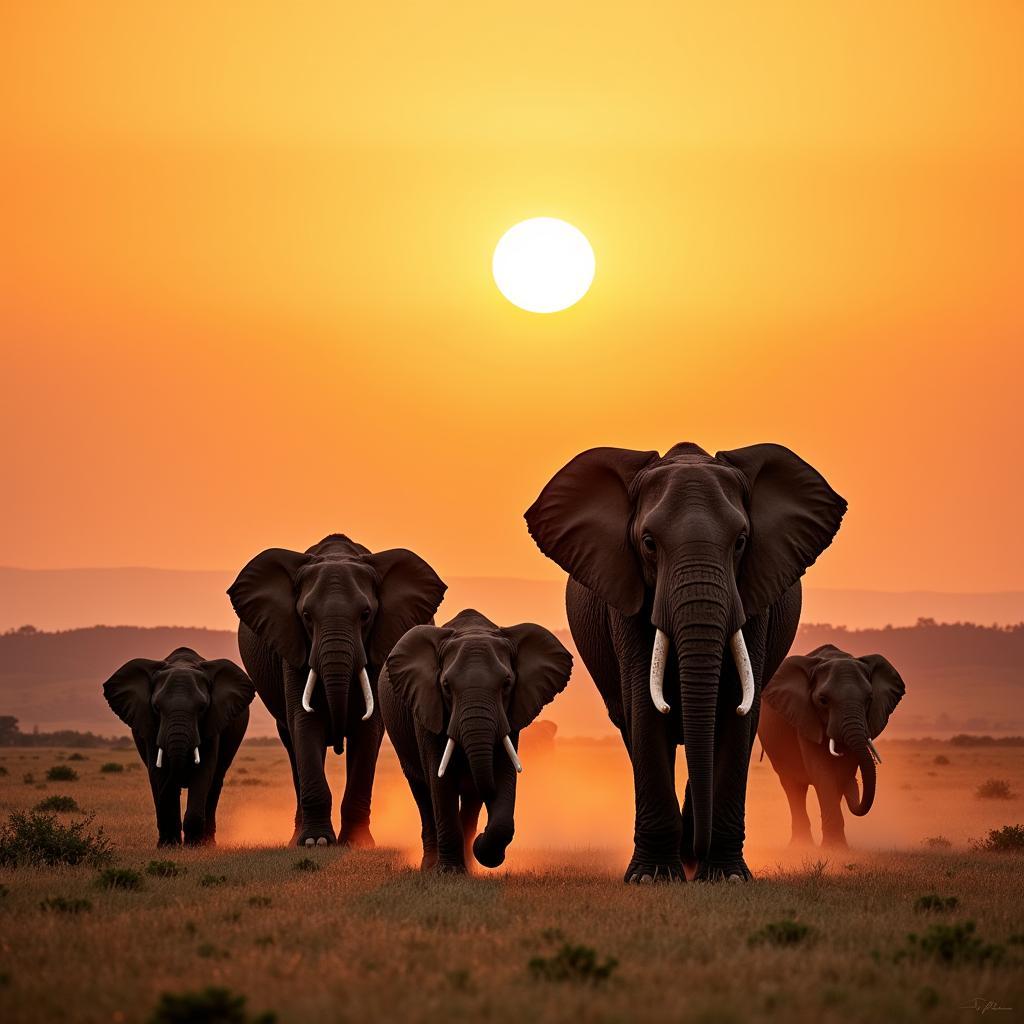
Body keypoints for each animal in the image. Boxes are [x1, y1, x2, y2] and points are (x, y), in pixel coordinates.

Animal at [102, 647, 256, 847]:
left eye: (202, 708)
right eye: (156, 707)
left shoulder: (213, 722)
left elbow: (204, 769)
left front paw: (194, 846)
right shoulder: (151, 727)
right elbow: (158, 772)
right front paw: (168, 846)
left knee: (215, 782)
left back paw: (208, 843)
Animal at [230, 532, 446, 843]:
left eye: (366, 614)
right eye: (306, 616)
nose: (338, 742)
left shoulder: (380, 645)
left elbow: (368, 728)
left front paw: (357, 843)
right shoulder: (293, 646)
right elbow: (305, 721)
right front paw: (315, 842)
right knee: (291, 740)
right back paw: (297, 838)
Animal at [378, 606, 573, 872]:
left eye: (507, 683)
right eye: (446, 685)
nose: (482, 837)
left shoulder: (510, 714)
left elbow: (503, 771)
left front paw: (480, 851)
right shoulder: (427, 705)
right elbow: (440, 780)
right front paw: (449, 872)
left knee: (470, 799)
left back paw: (469, 863)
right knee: (423, 792)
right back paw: (430, 865)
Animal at [524, 440, 843, 880]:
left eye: (741, 541)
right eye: (648, 543)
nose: (697, 850)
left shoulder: (754, 597)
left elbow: (735, 710)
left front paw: (726, 876)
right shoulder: (626, 599)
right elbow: (645, 707)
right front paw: (652, 876)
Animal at [761, 638, 905, 847]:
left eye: (869, 699)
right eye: (823, 700)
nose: (856, 783)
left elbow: (841, 772)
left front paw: (837, 848)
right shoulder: (805, 716)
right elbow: (822, 771)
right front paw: (833, 848)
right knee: (792, 786)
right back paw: (800, 845)